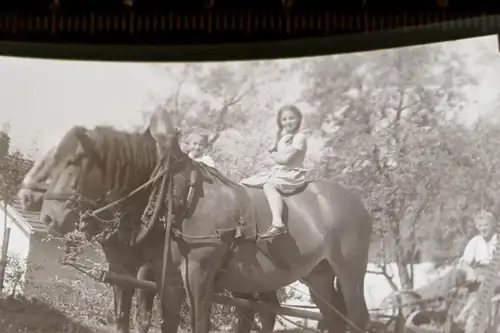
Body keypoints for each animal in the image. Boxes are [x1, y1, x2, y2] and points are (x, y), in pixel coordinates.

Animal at [38, 120, 372, 332]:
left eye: (73, 162)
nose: (48, 217)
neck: (175, 198)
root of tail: (357, 203)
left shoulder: (197, 274)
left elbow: (198, 324)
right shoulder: (160, 278)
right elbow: (150, 321)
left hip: (350, 270)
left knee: (357, 317)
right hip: (317, 276)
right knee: (330, 318)